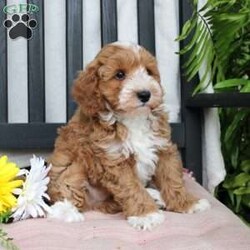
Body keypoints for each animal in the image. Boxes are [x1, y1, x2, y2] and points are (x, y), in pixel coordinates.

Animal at [46, 41, 209, 230]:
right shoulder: (114, 159)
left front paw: (187, 203)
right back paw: (68, 212)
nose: (145, 94)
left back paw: (155, 196)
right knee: (69, 194)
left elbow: (172, 178)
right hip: (74, 167)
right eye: (120, 74)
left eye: (148, 72)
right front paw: (146, 215)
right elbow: (131, 188)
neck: (133, 117)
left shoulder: (162, 147)